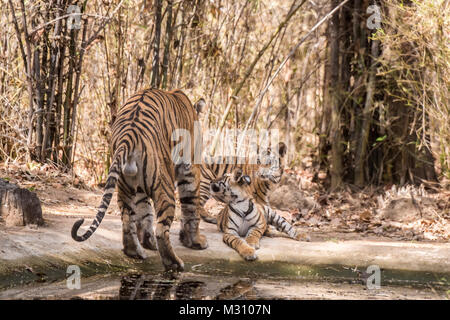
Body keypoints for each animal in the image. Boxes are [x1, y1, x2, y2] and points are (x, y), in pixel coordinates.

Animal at [71, 88, 207, 272]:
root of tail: (129, 135)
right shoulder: (191, 168)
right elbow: (192, 206)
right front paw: (196, 242)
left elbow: (145, 212)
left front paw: (148, 242)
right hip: (164, 183)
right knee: (161, 229)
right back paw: (174, 263)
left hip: (125, 184)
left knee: (127, 219)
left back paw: (135, 252)